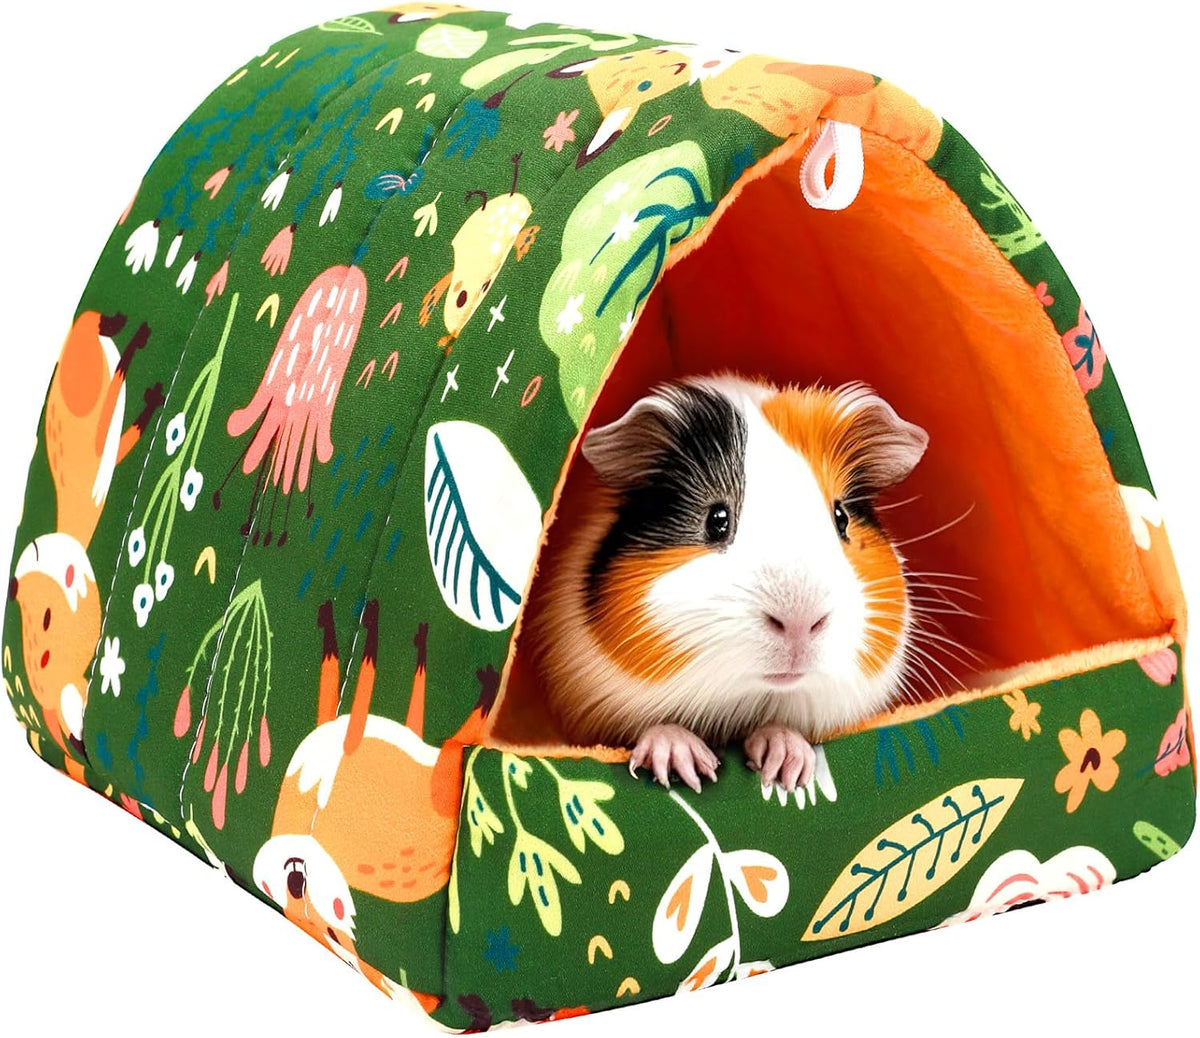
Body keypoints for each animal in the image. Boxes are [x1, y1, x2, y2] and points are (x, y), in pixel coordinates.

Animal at [525, 374, 929, 793]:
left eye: (841, 518)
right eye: (716, 519)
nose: (801, 623)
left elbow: (783, 728)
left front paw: (785, 764)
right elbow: (656, 727)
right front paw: (682, 764)